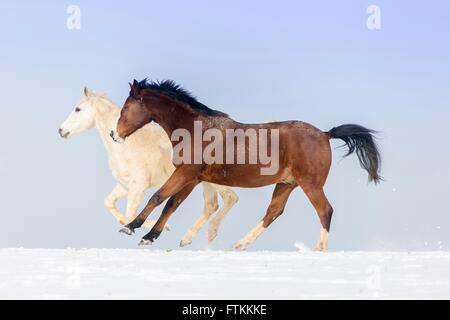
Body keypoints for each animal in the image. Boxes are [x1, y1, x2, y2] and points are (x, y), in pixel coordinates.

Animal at [59, 87, 239, 245]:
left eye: (77, 109)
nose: (61, 130)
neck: (127, 144)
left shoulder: (138, 186)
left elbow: (130, 212)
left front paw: (153, 228)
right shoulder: (124, 185)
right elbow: (110, 204)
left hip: (213, 181)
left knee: (229, 199)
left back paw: (213, 236)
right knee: (212, 205)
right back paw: (188, 239)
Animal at [110, 78, 380, 250]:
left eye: (126, 107)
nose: (114, 135)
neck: (195, 130)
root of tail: (325, 134)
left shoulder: (185, 173)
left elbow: (158, 197)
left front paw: (131, 227)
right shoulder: (192, 178)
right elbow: (171, 204)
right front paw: (151, 236)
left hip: (310, 184)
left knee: (325, 210)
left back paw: (318, 249)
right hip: (287, 183)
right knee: (273, 212)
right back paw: (241, 243)